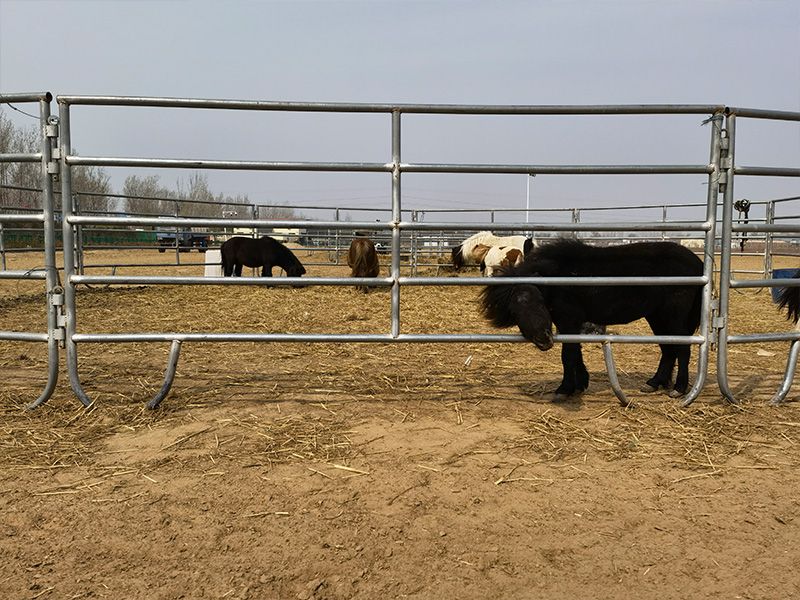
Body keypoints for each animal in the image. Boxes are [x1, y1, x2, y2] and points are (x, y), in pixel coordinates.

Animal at [482, 238, 700, 398]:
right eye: (514, 311)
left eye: (538, 299)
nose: (543, 341)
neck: (558, 279)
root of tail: (697, 263)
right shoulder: (568, 323)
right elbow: (575, 352)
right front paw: (580, 384)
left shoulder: (569, 320)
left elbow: (568, 354)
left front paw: (565, 389)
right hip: (656, 316)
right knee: (668, 348)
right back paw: (655, 383)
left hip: (673, 316)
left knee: (683, 348)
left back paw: (679, 388)